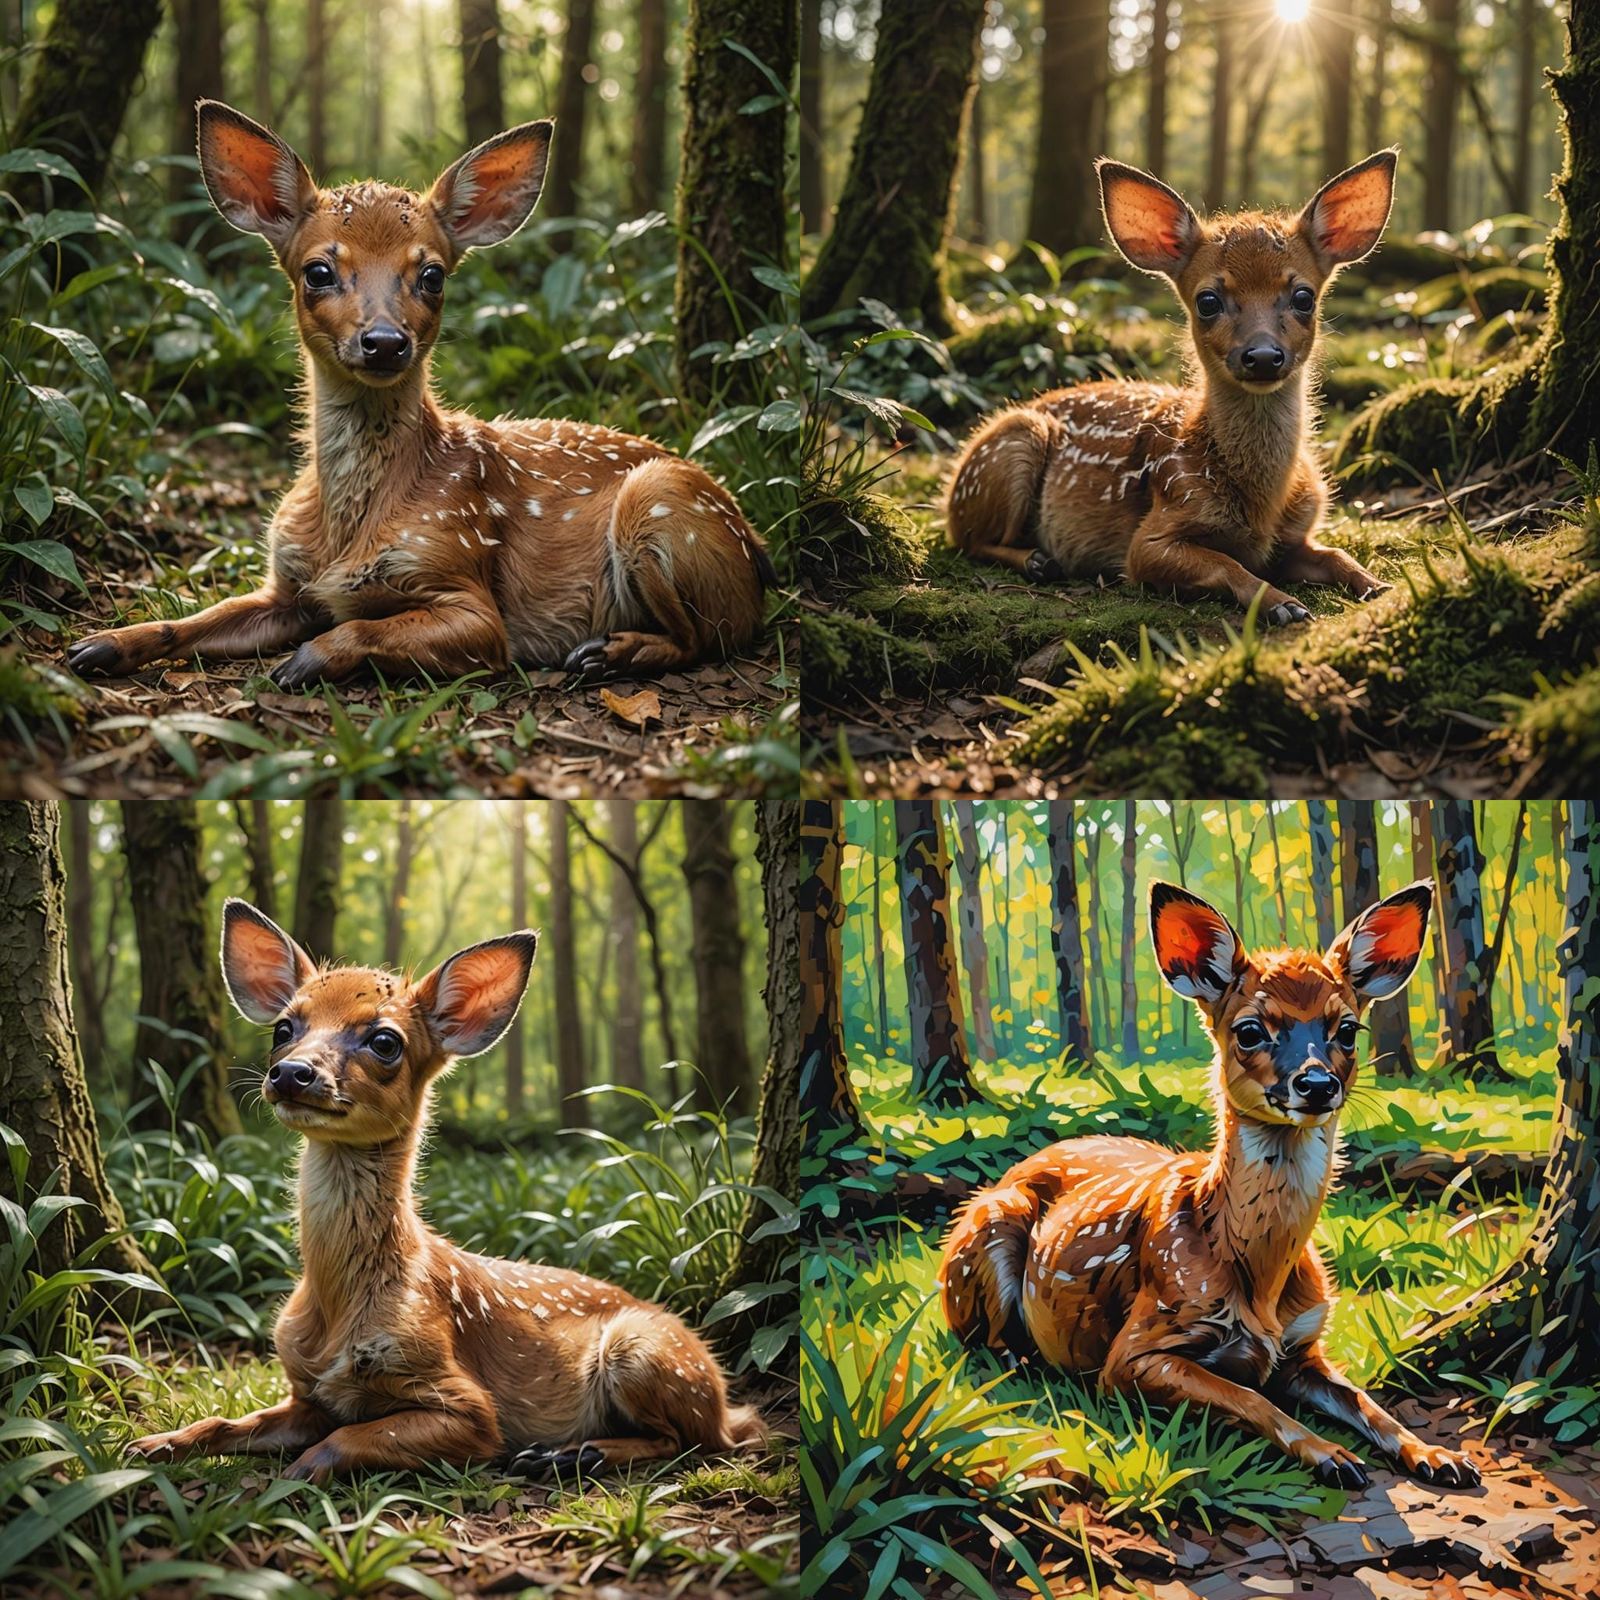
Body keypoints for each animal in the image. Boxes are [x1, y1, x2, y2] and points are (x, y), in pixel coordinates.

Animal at [66, 101, 771, 690]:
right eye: (317, 271)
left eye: (431, 274)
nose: (384, 341)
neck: (348, 527)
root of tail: (758, 551)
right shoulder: (287, 587)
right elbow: (193, 619)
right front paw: (100, 644)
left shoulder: (467, 591)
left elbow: (360, 625)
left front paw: (302, 663)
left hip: (658, 506)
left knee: (703, 639)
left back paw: (606, 653)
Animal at [127, 899, 764, 1483]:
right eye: (284, 1028)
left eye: (385, 1041)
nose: (291, 1073)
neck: (341, 1303)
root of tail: (720, 1392)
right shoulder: (308, 1392)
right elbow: (228, 1423)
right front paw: (150, 1444)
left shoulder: (465, 1402)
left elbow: (343, 1441)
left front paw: (289, 1481)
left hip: (645, 1354)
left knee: (701, 1440)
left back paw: (567, 1453)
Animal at [938, 877, 1482, 1491]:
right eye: (1249, 1030)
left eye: (1347, 1030)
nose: (1316, 1084)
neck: (1259, 1280)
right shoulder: (1135, 1347)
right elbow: (1247, 1395)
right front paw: (1332, 1456)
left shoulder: (1305, 1343)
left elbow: (1367, 1401)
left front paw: (1438, 1455)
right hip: (980, 1238)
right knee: (980, 1337)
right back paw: (1018, 1358)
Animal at [945, 151, 1398, 627]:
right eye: (1208, 301)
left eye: (1304, 297)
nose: (1261, 356)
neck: (1261, 508)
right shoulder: (1154, 530)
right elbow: (1226, 563)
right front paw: (1283, 603)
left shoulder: (1296, 534)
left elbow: (1336, 554)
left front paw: (1381, 585)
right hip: (1010, 447)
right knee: (968, 539)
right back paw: (1038, 561)